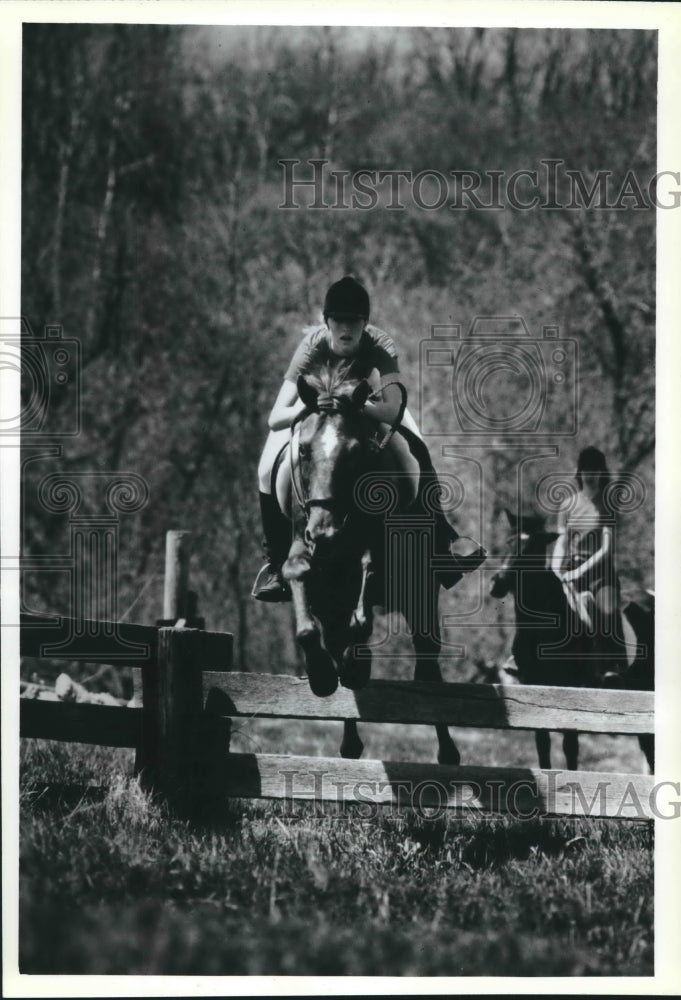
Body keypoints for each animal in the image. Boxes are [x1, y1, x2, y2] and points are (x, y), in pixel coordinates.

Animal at [278, 370, 460, 764]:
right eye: (304, 450)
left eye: (355, 453)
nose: (325, 534)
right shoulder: (306, 547)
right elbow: (297, 575)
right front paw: (321, 675)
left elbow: (370, 570)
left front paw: (357, 665)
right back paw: (349, 745)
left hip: (421, 592)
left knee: (427, 662)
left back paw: (448, 753)